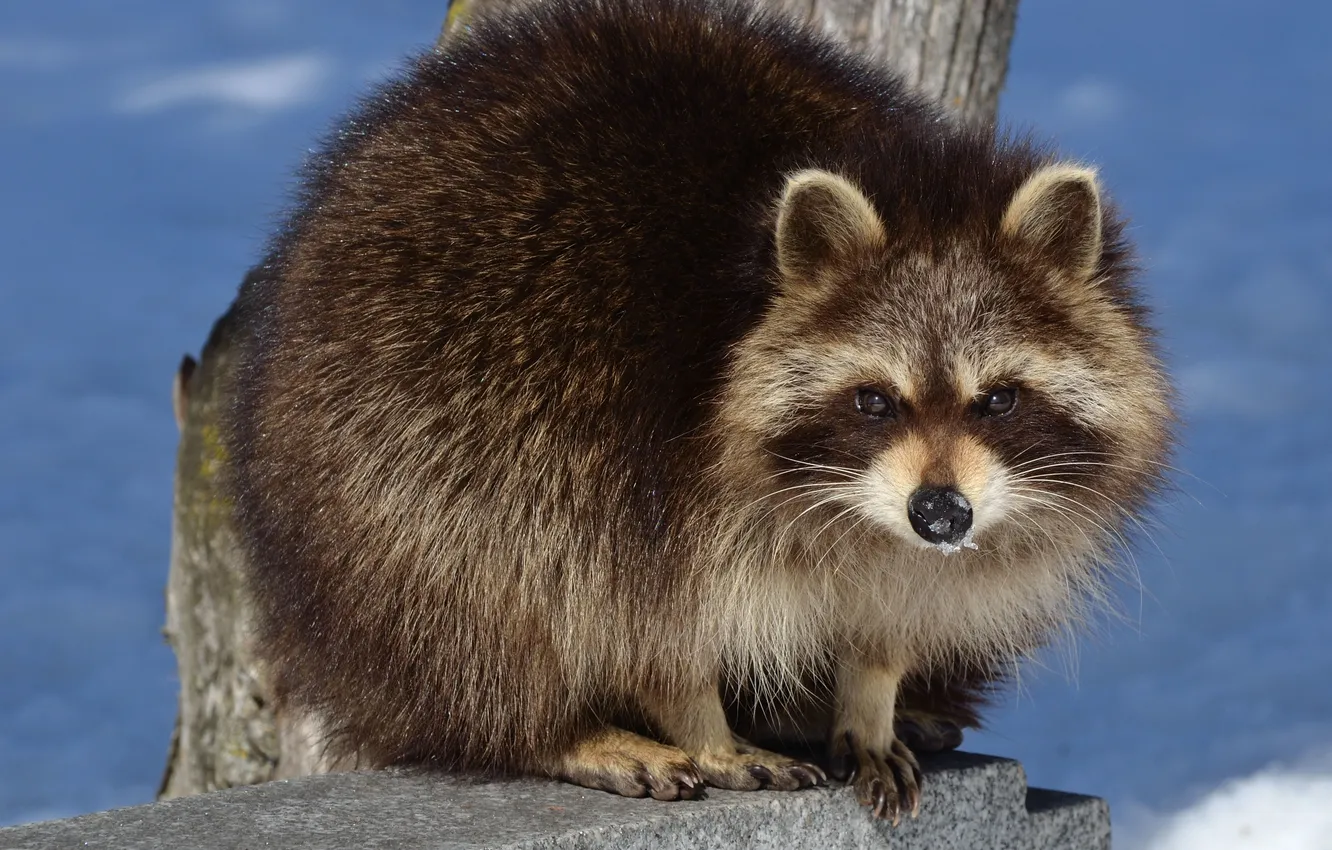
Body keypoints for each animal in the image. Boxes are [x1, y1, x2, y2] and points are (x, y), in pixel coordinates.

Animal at [224, 0, 1173, 822]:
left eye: (999, 399)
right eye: (874, 400)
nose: (940, 513)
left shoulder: (924, 544)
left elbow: (895, 611)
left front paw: (870, 692)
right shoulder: (633, 463)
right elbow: (642, 623)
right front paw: (701, 724)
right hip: (389, 468)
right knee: (487, 596)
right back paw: (559, 729)